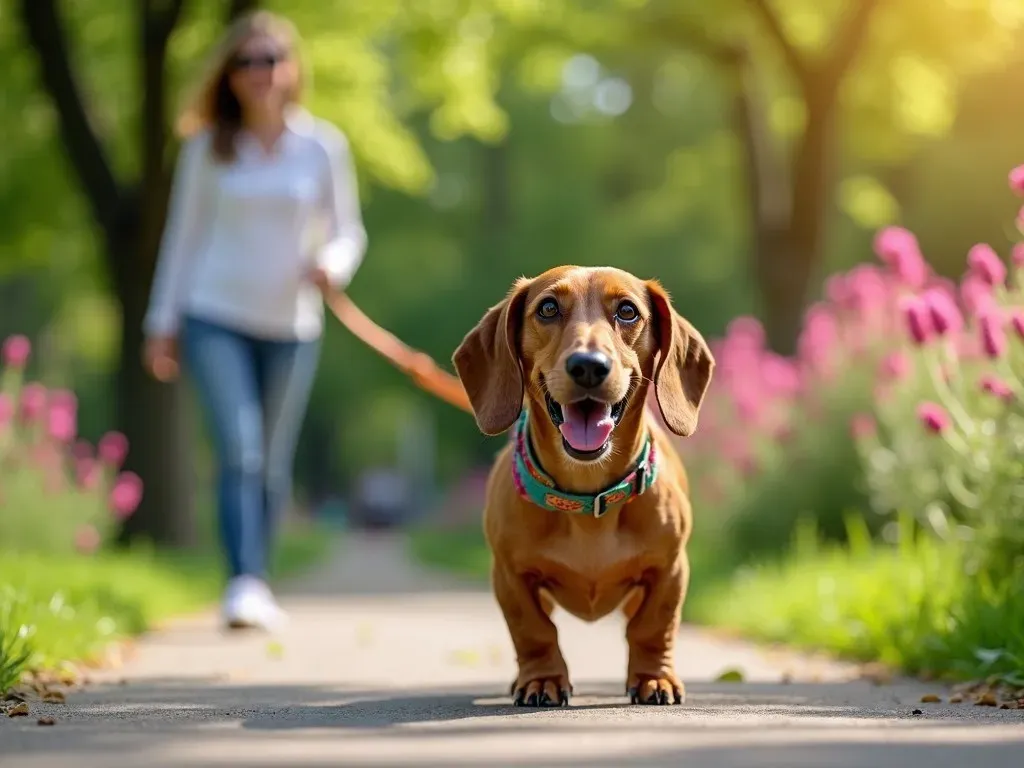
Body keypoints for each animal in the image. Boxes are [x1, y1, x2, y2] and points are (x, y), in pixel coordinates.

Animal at [452, 266, 716, 708]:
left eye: (627, 311)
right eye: (548, 308)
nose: (589, 365)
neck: (587, 497)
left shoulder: (671, 570)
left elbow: (653, 626)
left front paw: (653, 678)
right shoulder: (509, 575)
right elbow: (534, 631)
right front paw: (542, 679)